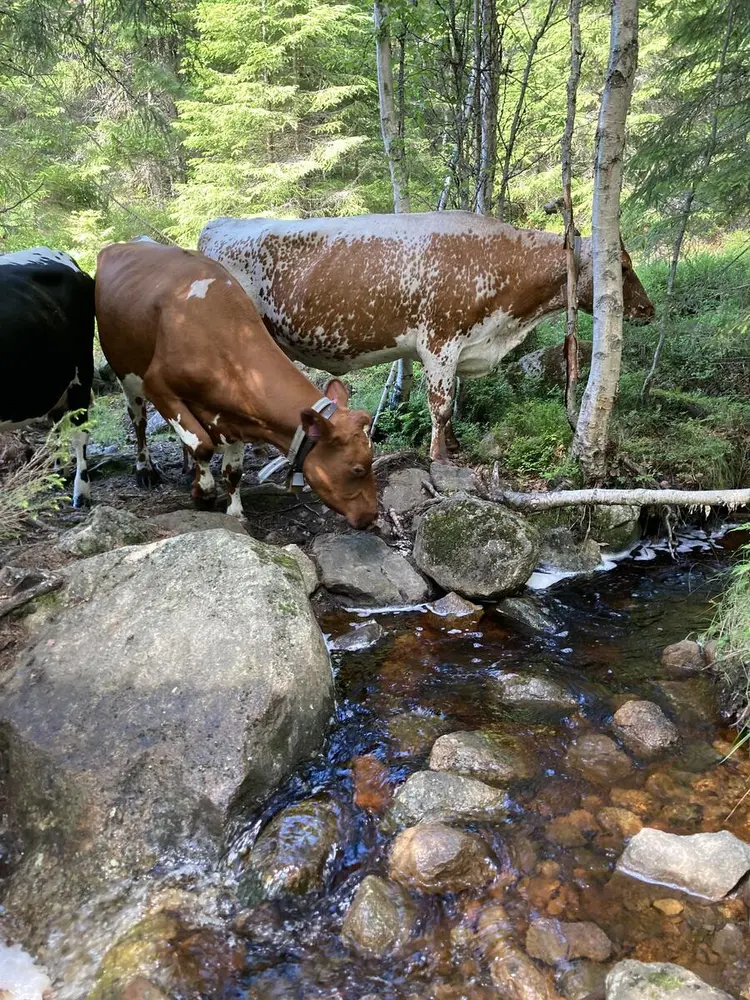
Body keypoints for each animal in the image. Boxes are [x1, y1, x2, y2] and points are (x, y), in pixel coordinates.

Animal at [95, 240, 376, 532]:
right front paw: (203, 494)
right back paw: (145, 469)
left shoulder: (238, 413)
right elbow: (202, 445)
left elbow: (233, 470)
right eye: (358, 468)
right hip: (126, 374)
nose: (371, 516)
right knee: (138, 420)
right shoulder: (158, 386)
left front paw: (235, 510)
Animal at [201, 214, 656, 460]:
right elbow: (441, 404)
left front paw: (452, 447)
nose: (648, 310)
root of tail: (220, 224)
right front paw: (439, 457)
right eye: (623, 266)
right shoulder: (440, 341)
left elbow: (450, 404)